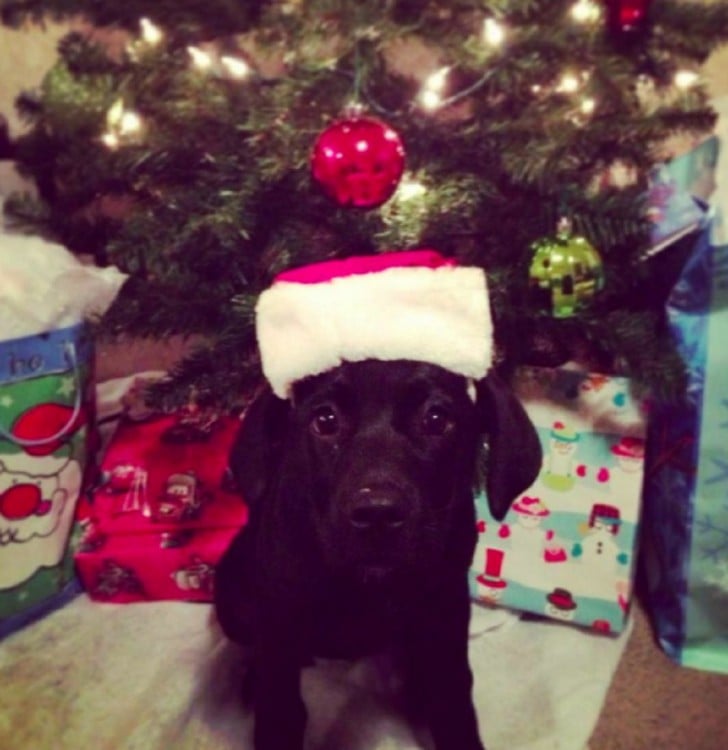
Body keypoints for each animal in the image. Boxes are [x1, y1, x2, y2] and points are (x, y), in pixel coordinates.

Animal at [212, 358, 540, 750]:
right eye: (325, 420)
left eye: (436, 419)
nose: (377, 515)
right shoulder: (279, 615)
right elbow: (280, 711)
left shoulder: (446, 608)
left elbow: (453, 699)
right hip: (233, 596)